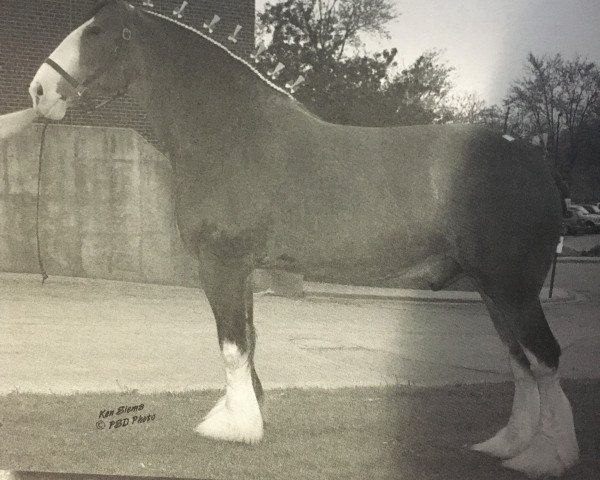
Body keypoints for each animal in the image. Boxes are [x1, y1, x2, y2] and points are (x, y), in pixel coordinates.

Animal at [28, 1, 576, 476]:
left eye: (96, 33)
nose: (38, 90)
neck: (230, 132)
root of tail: (536, 161)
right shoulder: (243, 267)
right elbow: (248, 339)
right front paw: (247, 417)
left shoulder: (221, 262)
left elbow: (232, 344)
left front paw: (235, 429)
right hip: (491, 290)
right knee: (519, 360)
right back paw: (507, 445)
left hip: (513, 289)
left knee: (544, 358)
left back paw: (546, 456)